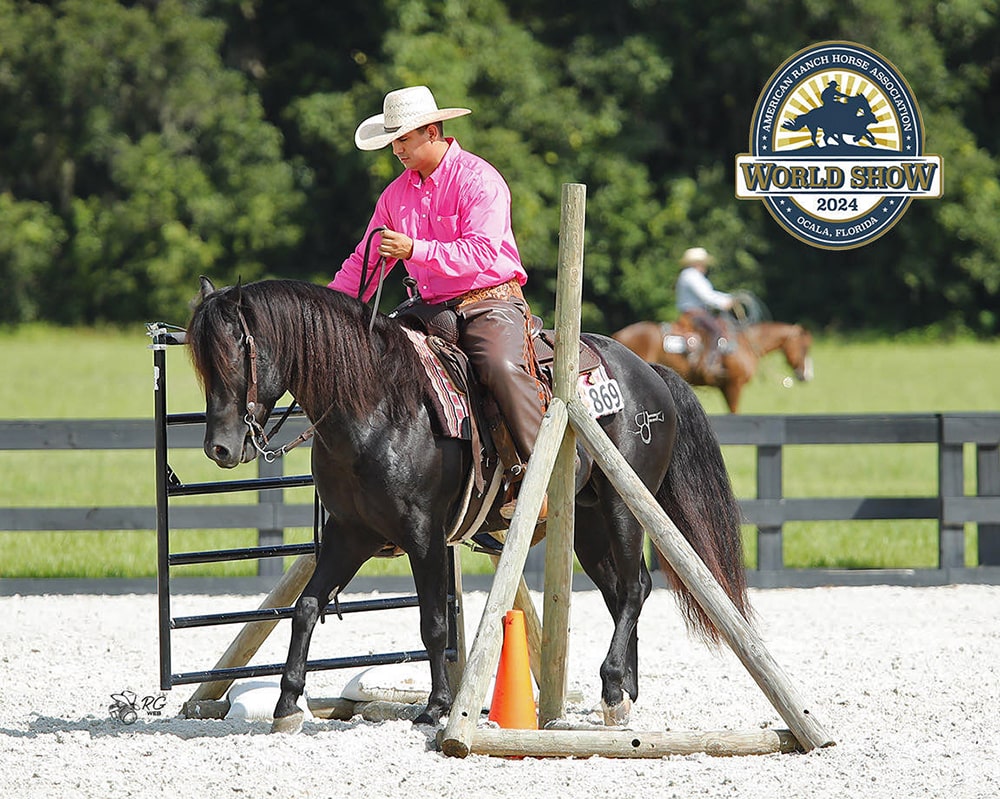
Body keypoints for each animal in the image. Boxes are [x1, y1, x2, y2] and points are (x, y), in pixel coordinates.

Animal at [188, 278, 752, 736]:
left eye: (236, 353)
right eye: (201, 363)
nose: (219, 448)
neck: (377, 406)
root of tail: (648, 369)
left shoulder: (423, 535)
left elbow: (433, 622)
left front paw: (437, 707)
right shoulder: (350, 534)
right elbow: (306, 607)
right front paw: (287, 704)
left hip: (623, 504)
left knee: (635, 588)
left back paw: (614, 688)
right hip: (588, 526)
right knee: (622, 593)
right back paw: (624, 695)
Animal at [608, 318, 812, 412]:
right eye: (804, 347)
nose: (806, 376)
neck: (745, 344)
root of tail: (619, 334)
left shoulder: (725, 387)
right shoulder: (734, 386)